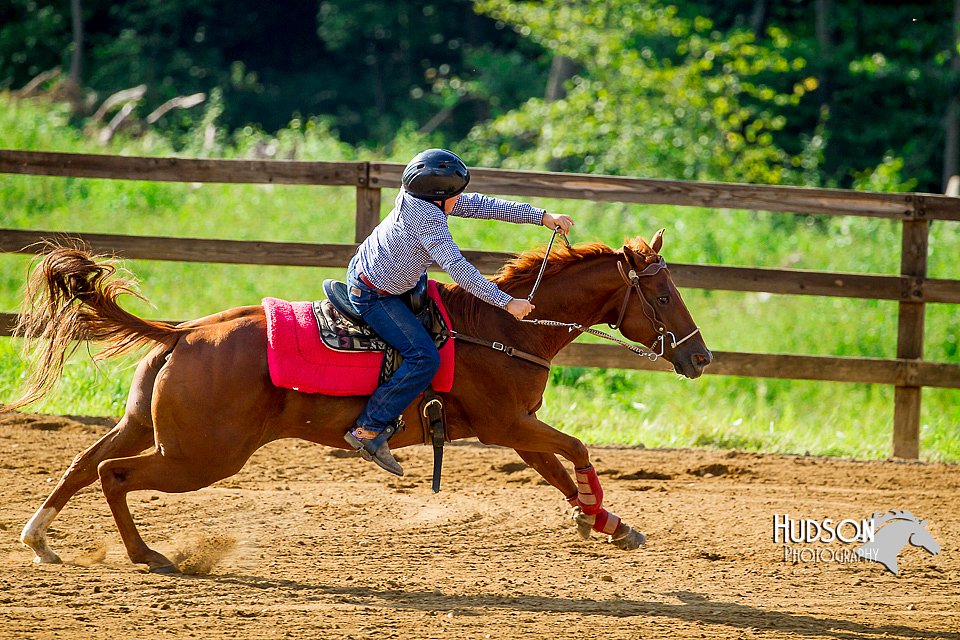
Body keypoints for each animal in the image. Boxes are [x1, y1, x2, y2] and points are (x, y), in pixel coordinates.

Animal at [9, 232, 712, 572]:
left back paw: (41, 539)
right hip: (200, 457)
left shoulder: (516, 429)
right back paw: (146, 556)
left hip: (148, 428)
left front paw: (606, 522)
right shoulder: (507, 424)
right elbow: (577, 450)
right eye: (664, 296)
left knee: (83, 464)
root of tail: (183, 332)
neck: (503, 329)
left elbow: (558, 471)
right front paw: (599, 515)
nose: (701, 357)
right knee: (112, 473)